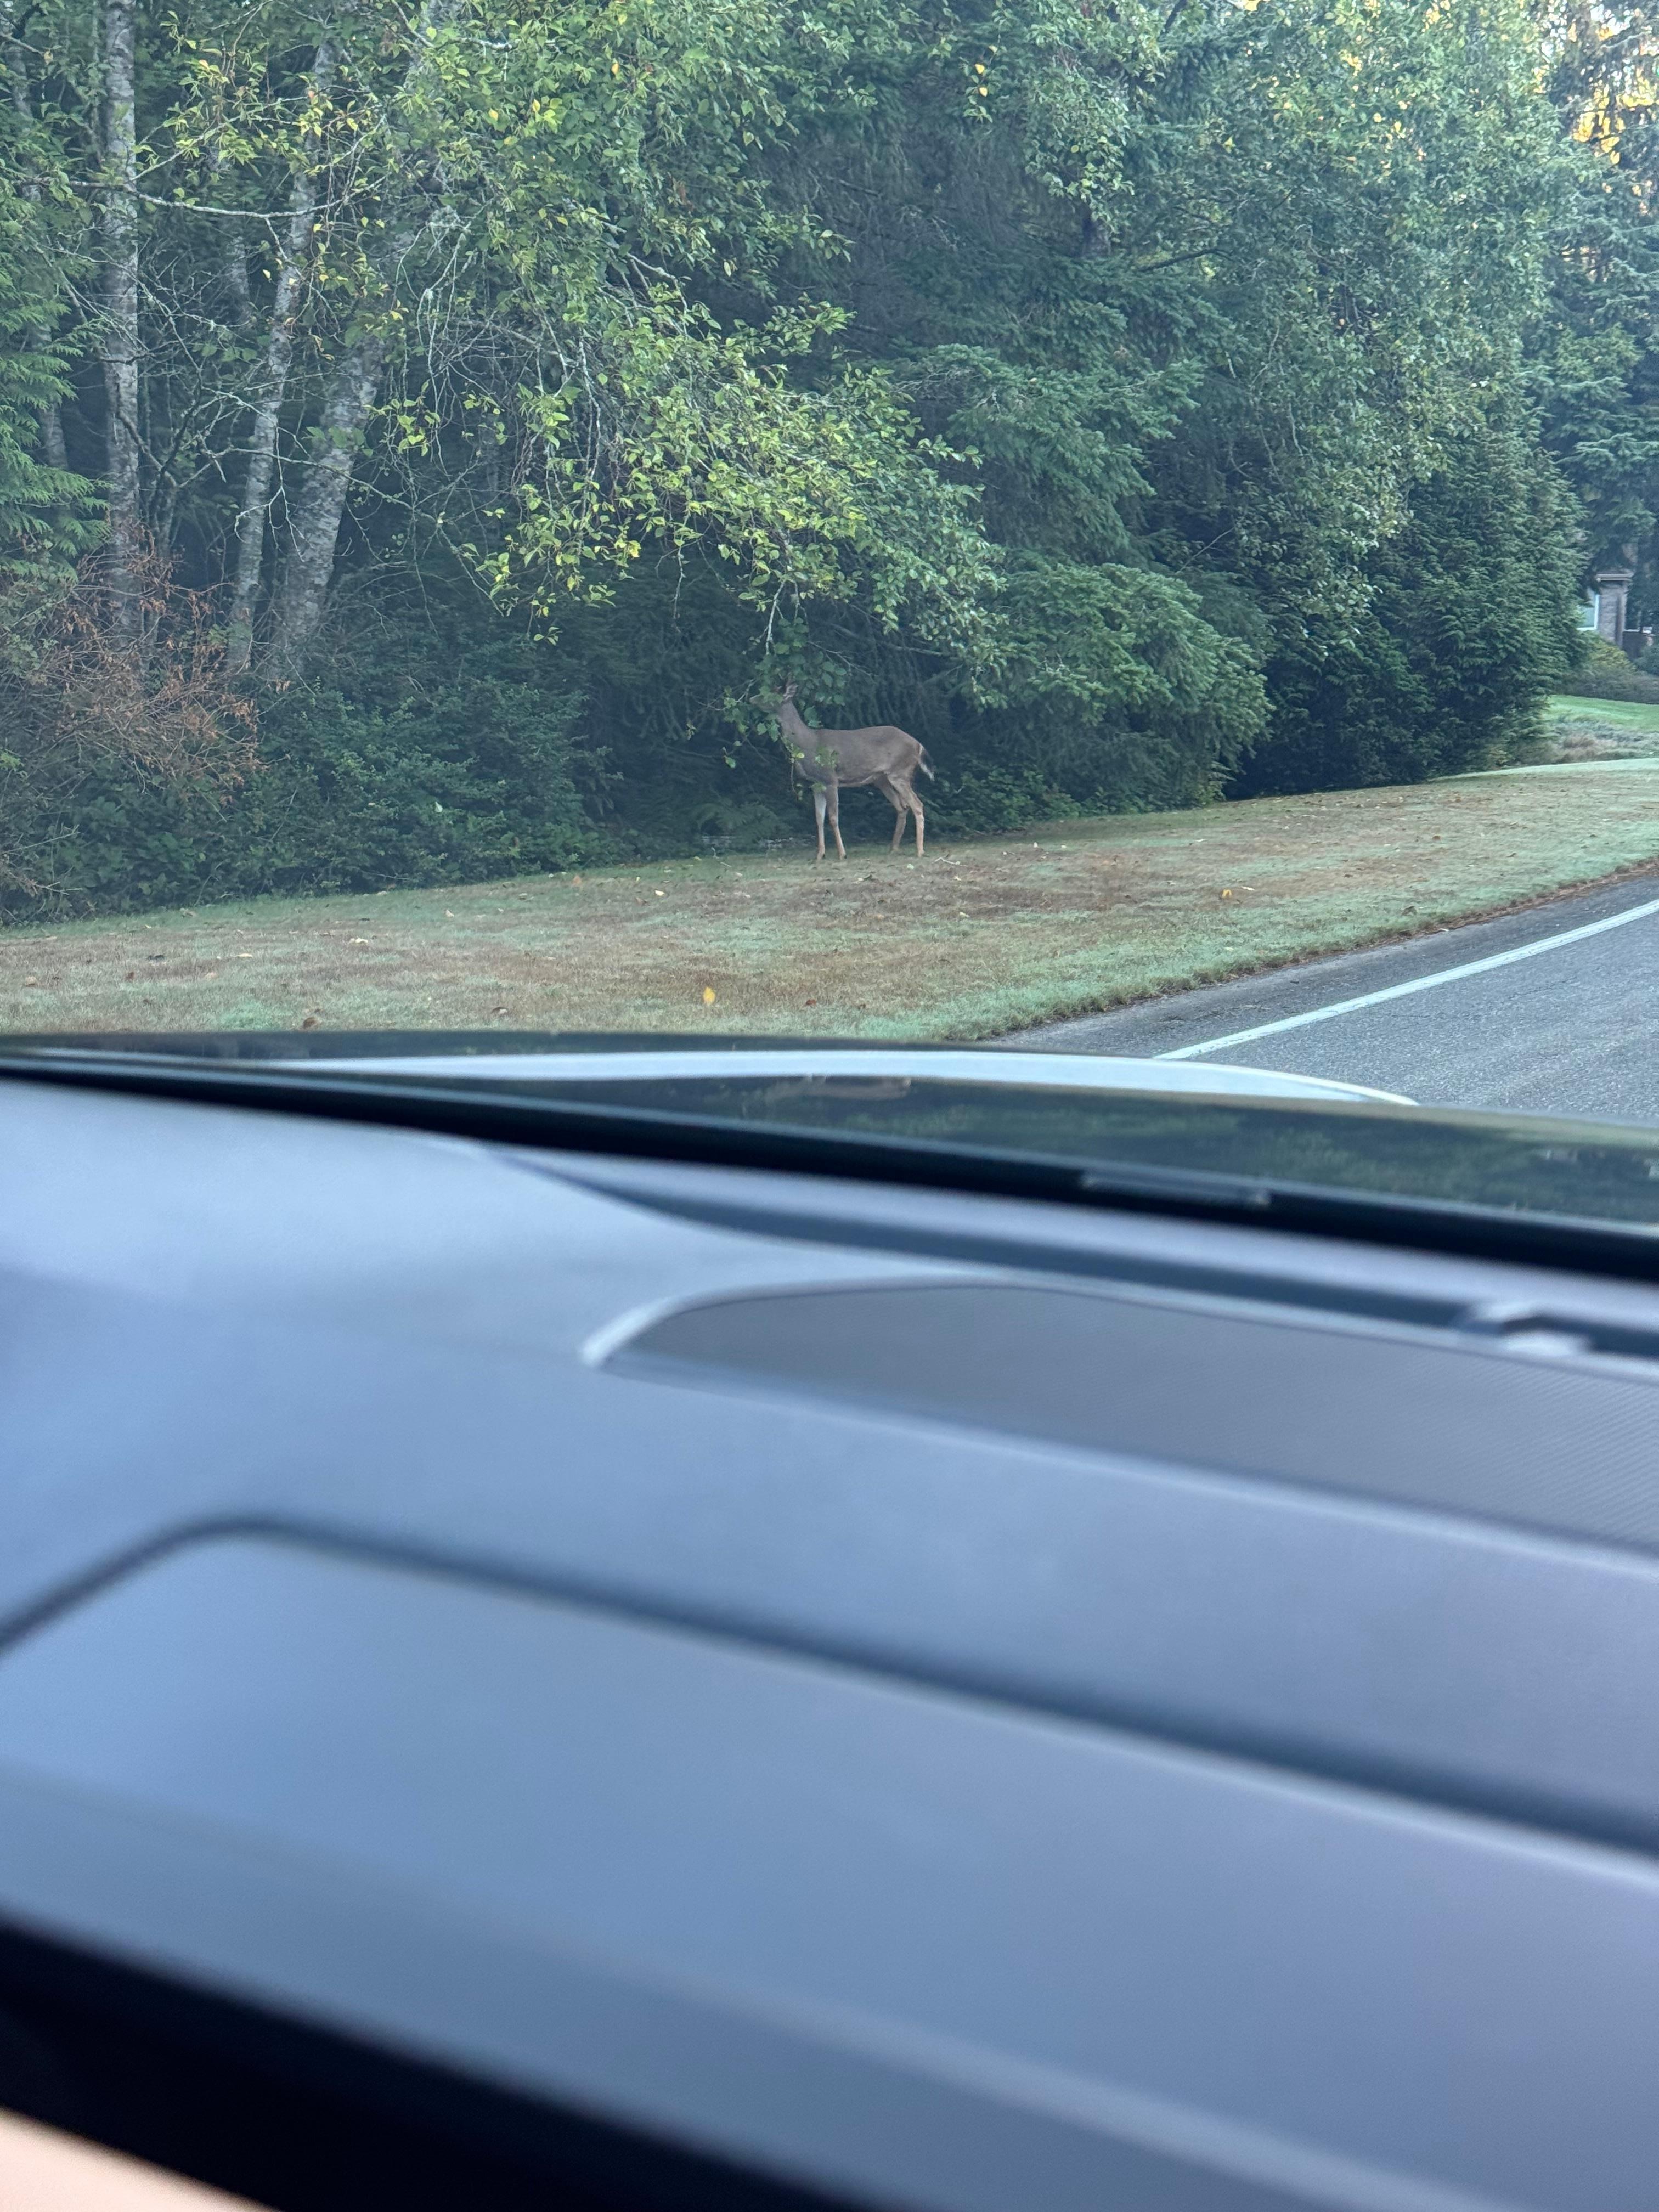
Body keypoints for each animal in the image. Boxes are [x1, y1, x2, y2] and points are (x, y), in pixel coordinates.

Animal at [767, 684, 934, 860]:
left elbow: (833, 818)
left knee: (917, 805)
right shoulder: (816, 785)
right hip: (882, 779)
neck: (807, 743)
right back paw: (893, 848)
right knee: (902, 806)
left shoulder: (830, 780)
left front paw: (842, 854)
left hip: (900, 773)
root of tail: (918, 745)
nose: (756, 699)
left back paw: (920, 850)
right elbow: (819, 819)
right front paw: (820, 855)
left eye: (771, 697)